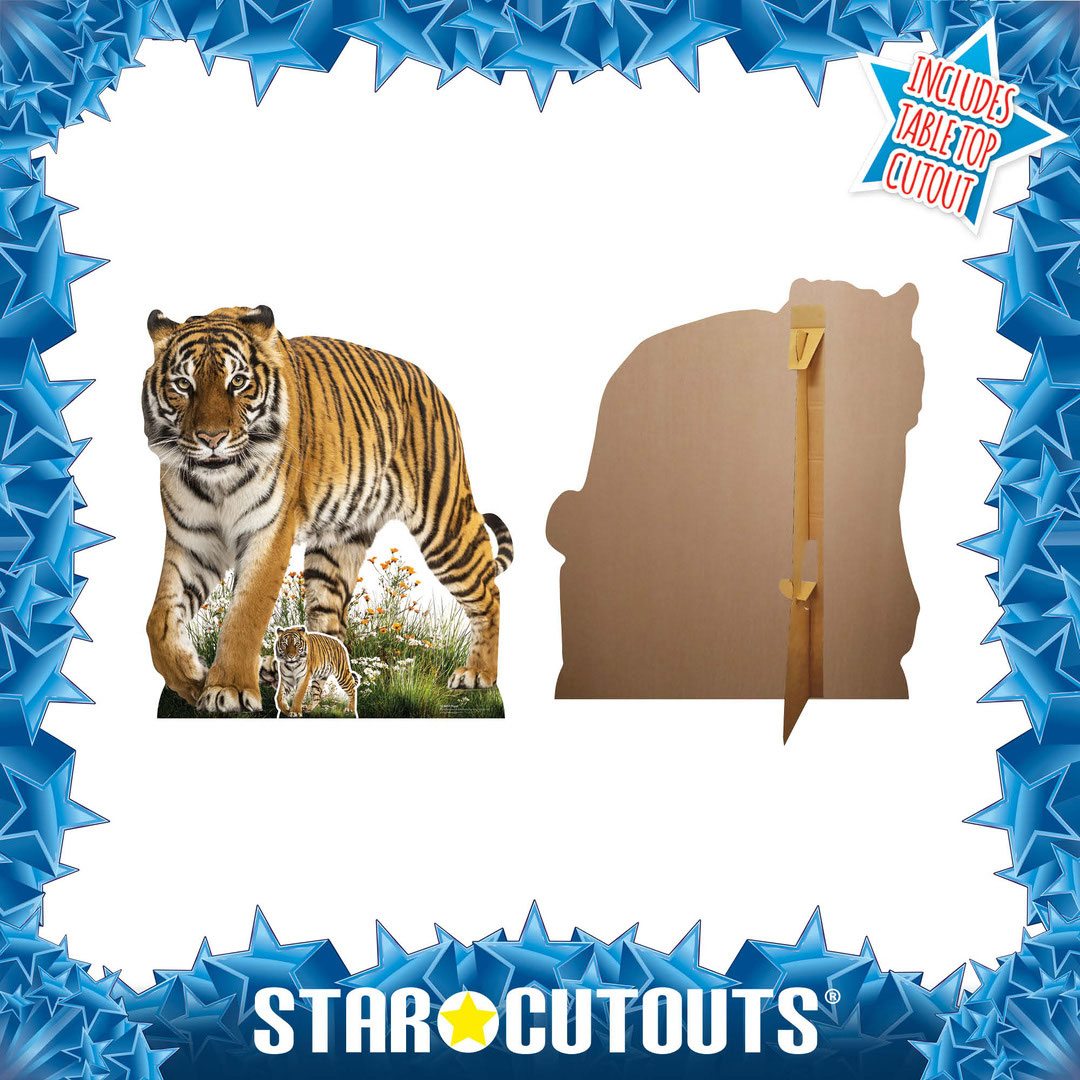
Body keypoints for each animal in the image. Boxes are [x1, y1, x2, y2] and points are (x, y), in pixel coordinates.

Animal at [142, 305, 513, 715]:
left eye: (237, 381)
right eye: (183, 385)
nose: (211, 438)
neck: (217, 483)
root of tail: (432, 385)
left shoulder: (268, 533)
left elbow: (244, 614)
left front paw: (229, 689)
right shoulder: (193, 540)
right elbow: (158, 621)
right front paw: (193, 679)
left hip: (444, 522)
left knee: (489, 592)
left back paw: (478, 674)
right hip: (337, 546)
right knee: (331, 628)